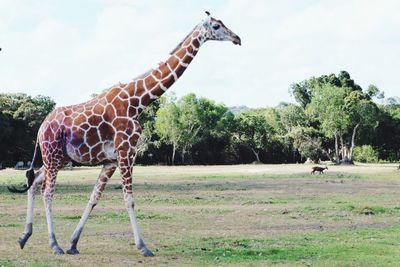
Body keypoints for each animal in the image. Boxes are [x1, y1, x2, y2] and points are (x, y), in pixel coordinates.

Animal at [8, 12, 241, 258]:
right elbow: (129, 199)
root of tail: (40, 128)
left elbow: (94, 198)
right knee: (47, 192)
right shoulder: (127, 151)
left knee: (34, 182)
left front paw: (73, 243)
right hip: (52, 156)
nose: (238, 38)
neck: (137, 102)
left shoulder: (111, 160)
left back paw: (25, 237)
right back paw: (54, 244)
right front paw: (143, 247)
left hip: (58, 158)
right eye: (216, 26)